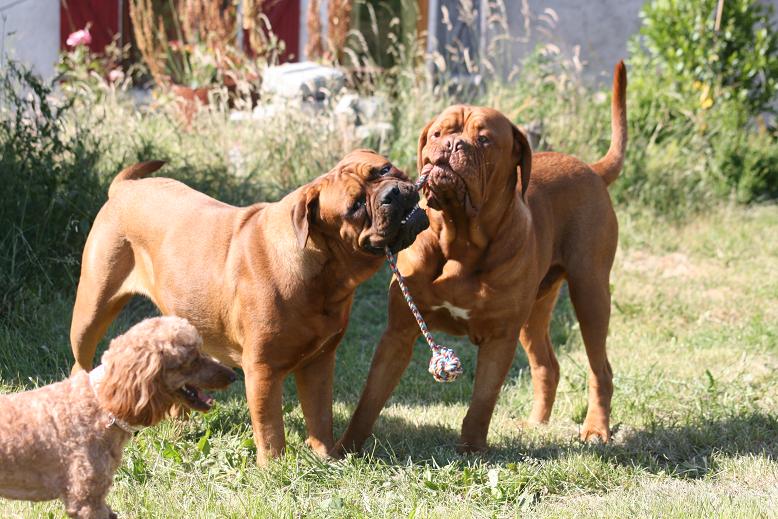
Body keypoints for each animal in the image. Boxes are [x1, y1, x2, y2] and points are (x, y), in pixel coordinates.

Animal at [69, 149, 428, 464]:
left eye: (384, 169)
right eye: (355, 206)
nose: (392, 193)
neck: (324, 271)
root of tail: (124, 187)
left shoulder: (319, 362)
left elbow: (319, 415)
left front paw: (326, 457)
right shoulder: (263, 370)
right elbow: (270, 429)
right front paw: (275, 470)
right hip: (91, 310)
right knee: (79, 363)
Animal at [336, 61, 628, 452]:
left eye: (485, 139)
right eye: (438, 133)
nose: (451, 144)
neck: (460, 239)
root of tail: (591, 168)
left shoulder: (499, 337)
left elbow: (482, 402)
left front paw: (471, 450)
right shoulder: (398, 332)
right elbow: (369, 398)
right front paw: (344, 448)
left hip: (590, 292)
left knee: (600, 369)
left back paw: (596, 429)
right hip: (536, 311)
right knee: (547, 365)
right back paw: (536, 424)